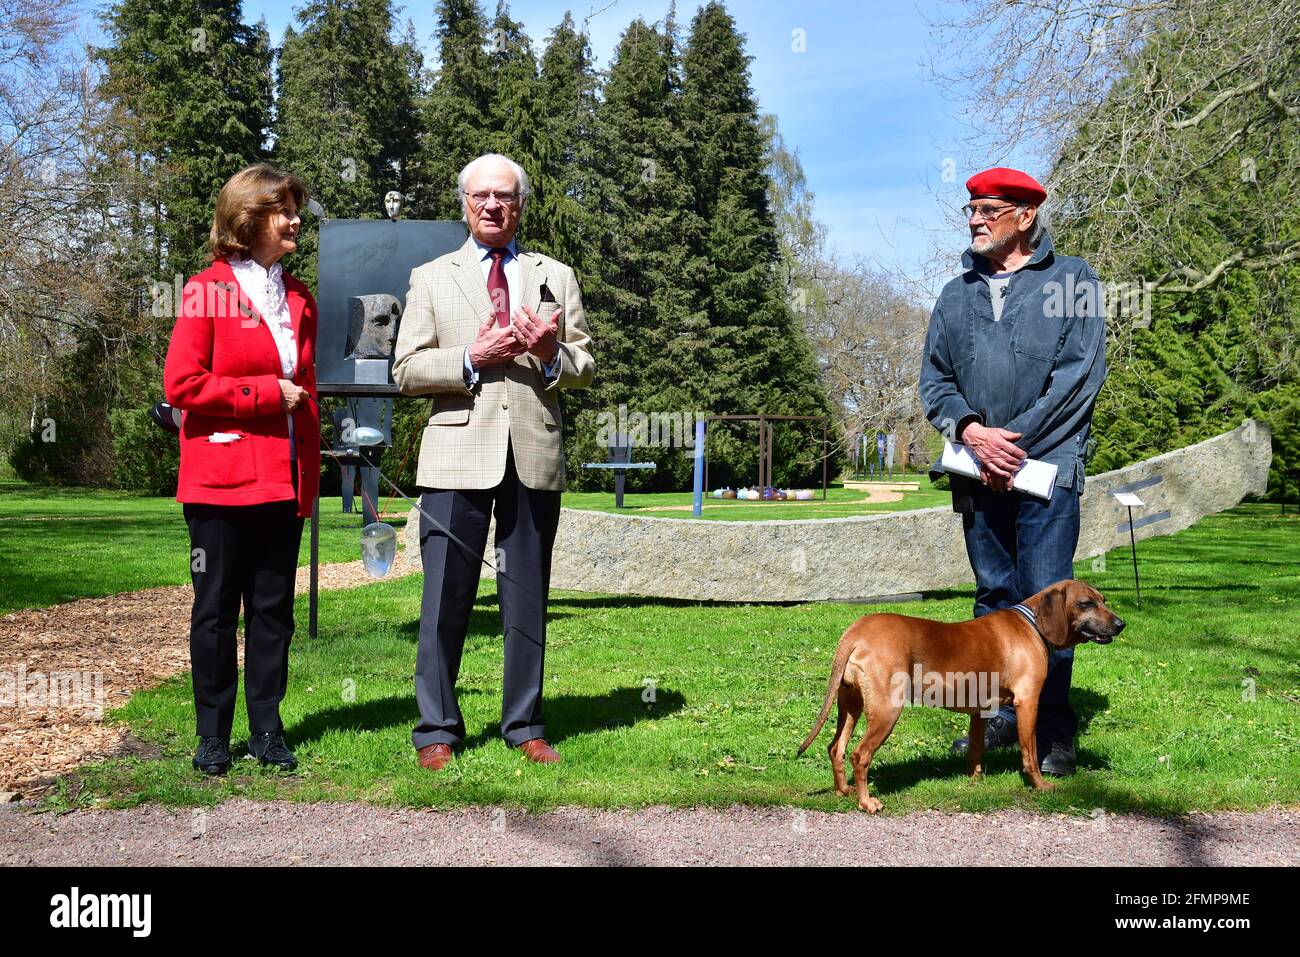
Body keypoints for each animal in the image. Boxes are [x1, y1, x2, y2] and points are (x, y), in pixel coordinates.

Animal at [795, 579, 1123, 811]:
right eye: (1086, 603)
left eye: (1104, 600)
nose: (1122, 624)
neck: (1032, 623)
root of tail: (856, 632)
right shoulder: (1028, 702)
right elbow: (1029, 753)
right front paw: (1040, 786)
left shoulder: (980, 710)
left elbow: (976, 748)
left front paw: (975, 778)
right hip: (886, 709)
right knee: (859, 755)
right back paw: (867, 802)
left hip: (850, 703)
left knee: (836, 748)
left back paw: (843, 791)